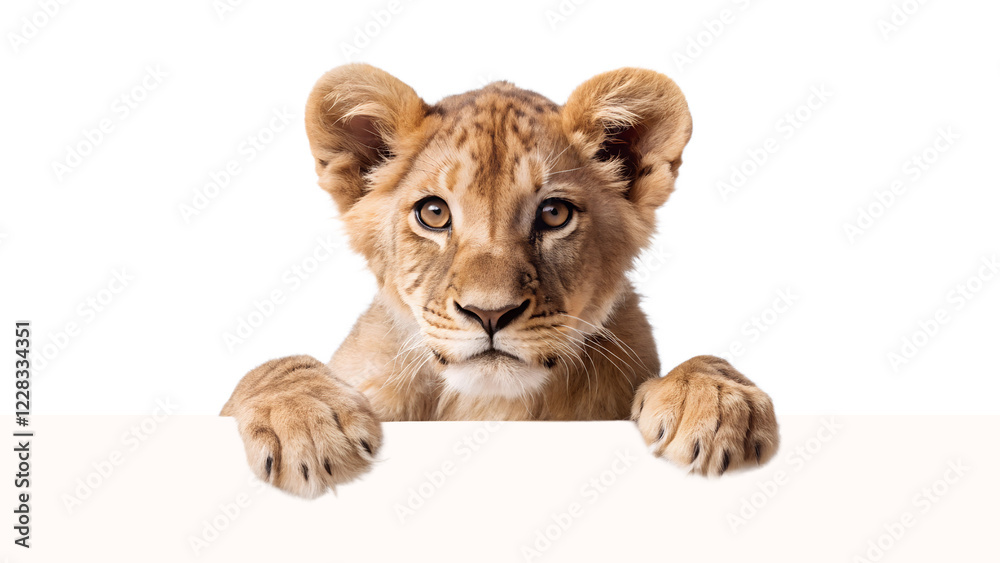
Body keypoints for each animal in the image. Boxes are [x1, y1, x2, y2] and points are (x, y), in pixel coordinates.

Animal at [221, 64, 779, 498]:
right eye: (433, 213)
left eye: (554, 214)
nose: (490, 313)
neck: (487, 404)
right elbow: (273, 369)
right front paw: (306, 424)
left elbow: (703, 363)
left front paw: (716, 403)